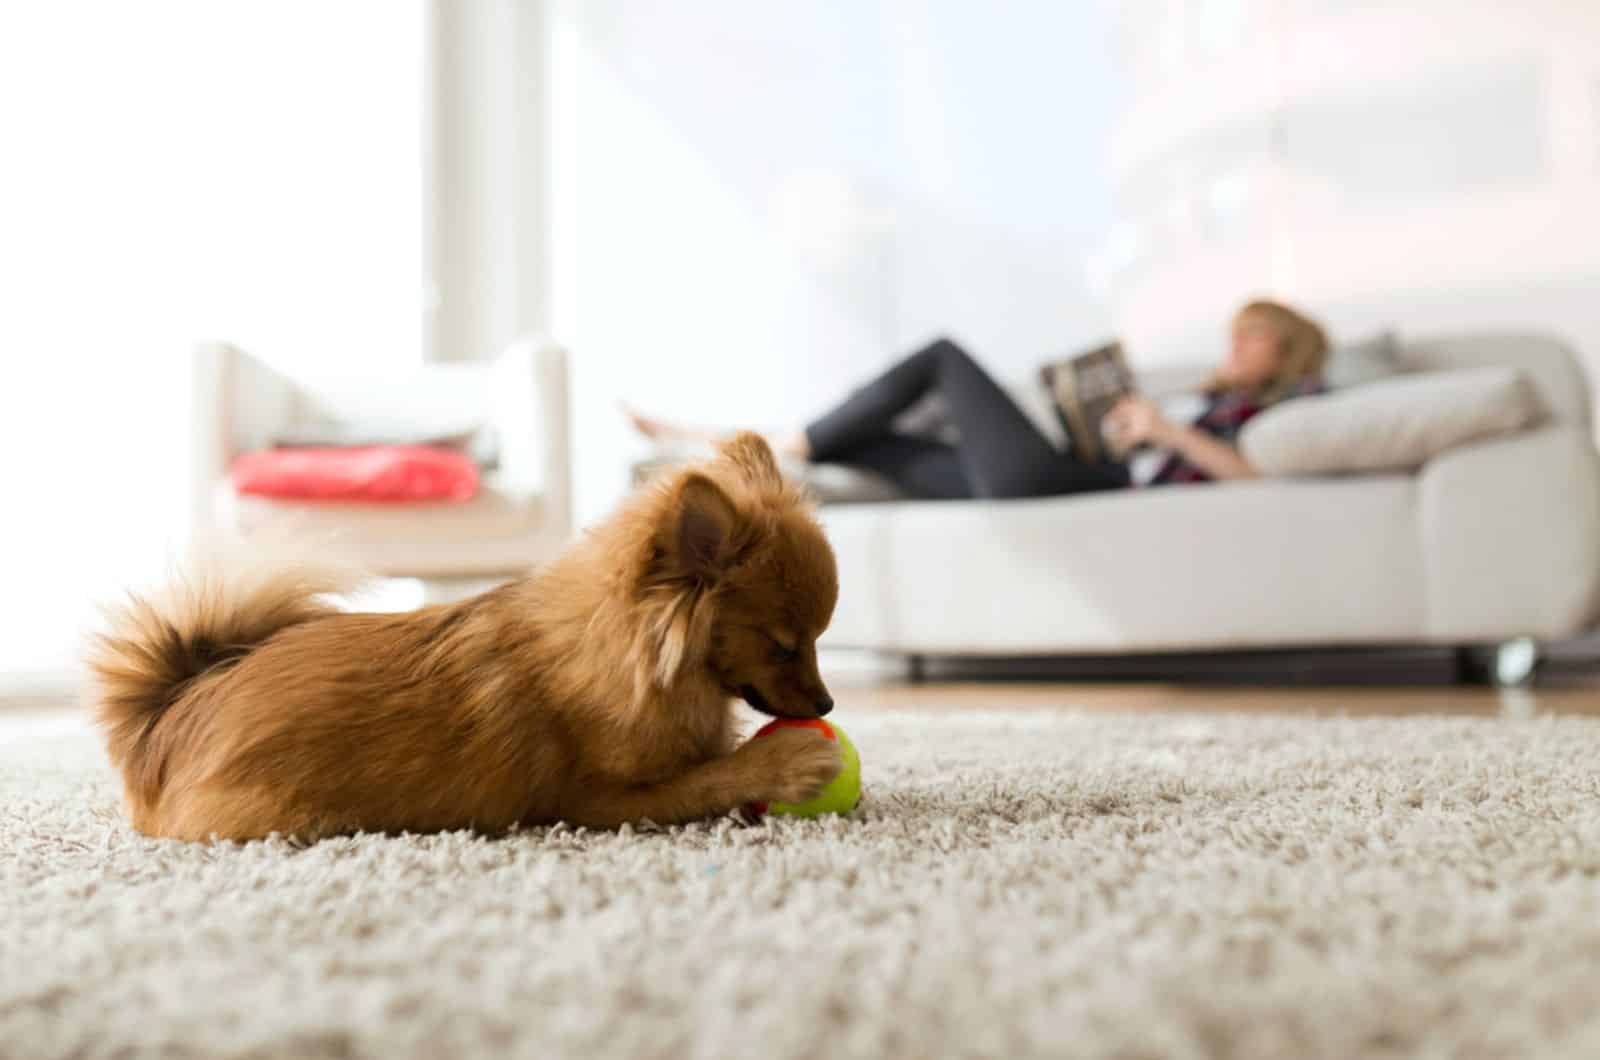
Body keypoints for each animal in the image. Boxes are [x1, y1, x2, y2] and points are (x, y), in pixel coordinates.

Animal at [90, 435, 851, 845]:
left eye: (818, 640)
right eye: (785, 645)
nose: (828, 705)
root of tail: (169, 714)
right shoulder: (594, 803)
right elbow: (707, 778)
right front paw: (785, 762)